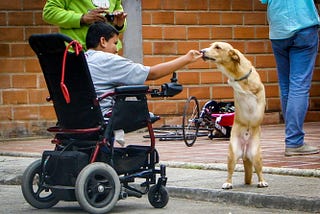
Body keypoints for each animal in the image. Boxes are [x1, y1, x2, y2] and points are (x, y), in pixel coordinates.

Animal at [201, 41, 268, 189]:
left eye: (217, 47)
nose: (201, 51)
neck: (236, 72)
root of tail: (245, 153)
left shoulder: (256, 87)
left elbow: (248, 89)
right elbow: (235, 85)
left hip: (256, 155)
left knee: (259, 171)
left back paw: (262, 181)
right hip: (232, 154)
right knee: (230, 172)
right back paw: (227, 183)